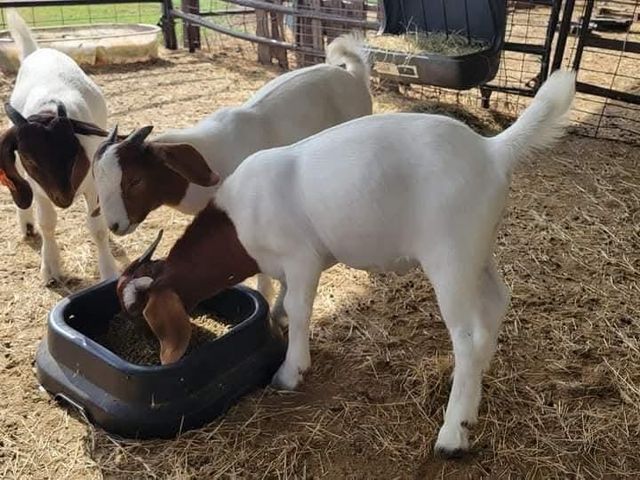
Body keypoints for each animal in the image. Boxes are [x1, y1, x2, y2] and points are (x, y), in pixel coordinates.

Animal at [0, 10, 118, 283]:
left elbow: (97, 227)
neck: (47, 111)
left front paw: (108, 271)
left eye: (74, 153)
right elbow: (47, 223)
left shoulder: (93, 183)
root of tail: (37, 51)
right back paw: (27, 225)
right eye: (30, 159)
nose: (63, 199)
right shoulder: (39, 187)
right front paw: (50, 267)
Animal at [115, 70, 576, 457]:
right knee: (497, 301)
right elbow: (282, 299)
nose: (148, 352)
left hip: (450, 256)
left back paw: (453, 431)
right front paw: (277, 320)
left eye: (141, 316)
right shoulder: (283, 267)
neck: (238, 219)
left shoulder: (301, 258)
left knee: (468, 335)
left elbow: (301, 310)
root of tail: (490, 150)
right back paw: (476, 381)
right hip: (476, 250)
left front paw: (290, 372)